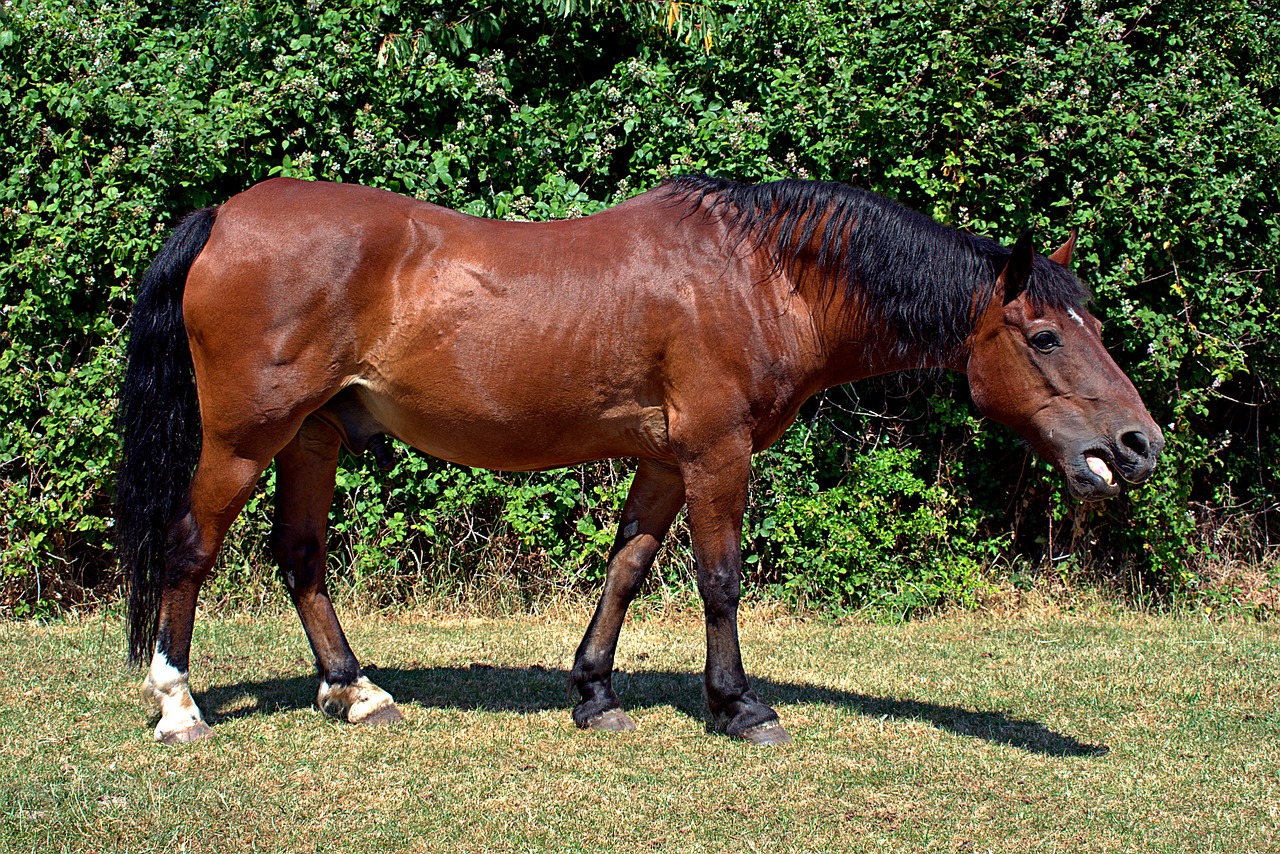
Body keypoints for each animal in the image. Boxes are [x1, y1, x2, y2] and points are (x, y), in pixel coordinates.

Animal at [115, 176, 1167, 742]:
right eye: (1044, 336)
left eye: (1094, 325)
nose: (1138, 443)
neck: (762, 277)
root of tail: (227, 215)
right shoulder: (716, 454)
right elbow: (719, 580)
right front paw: (738, 706)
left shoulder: (665, 462)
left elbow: (625, 569)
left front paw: (594, 693)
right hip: (245, 439)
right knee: (190, 547)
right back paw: (178, 703)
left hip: (315, 436)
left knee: (300, 558)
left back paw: (356, 690)